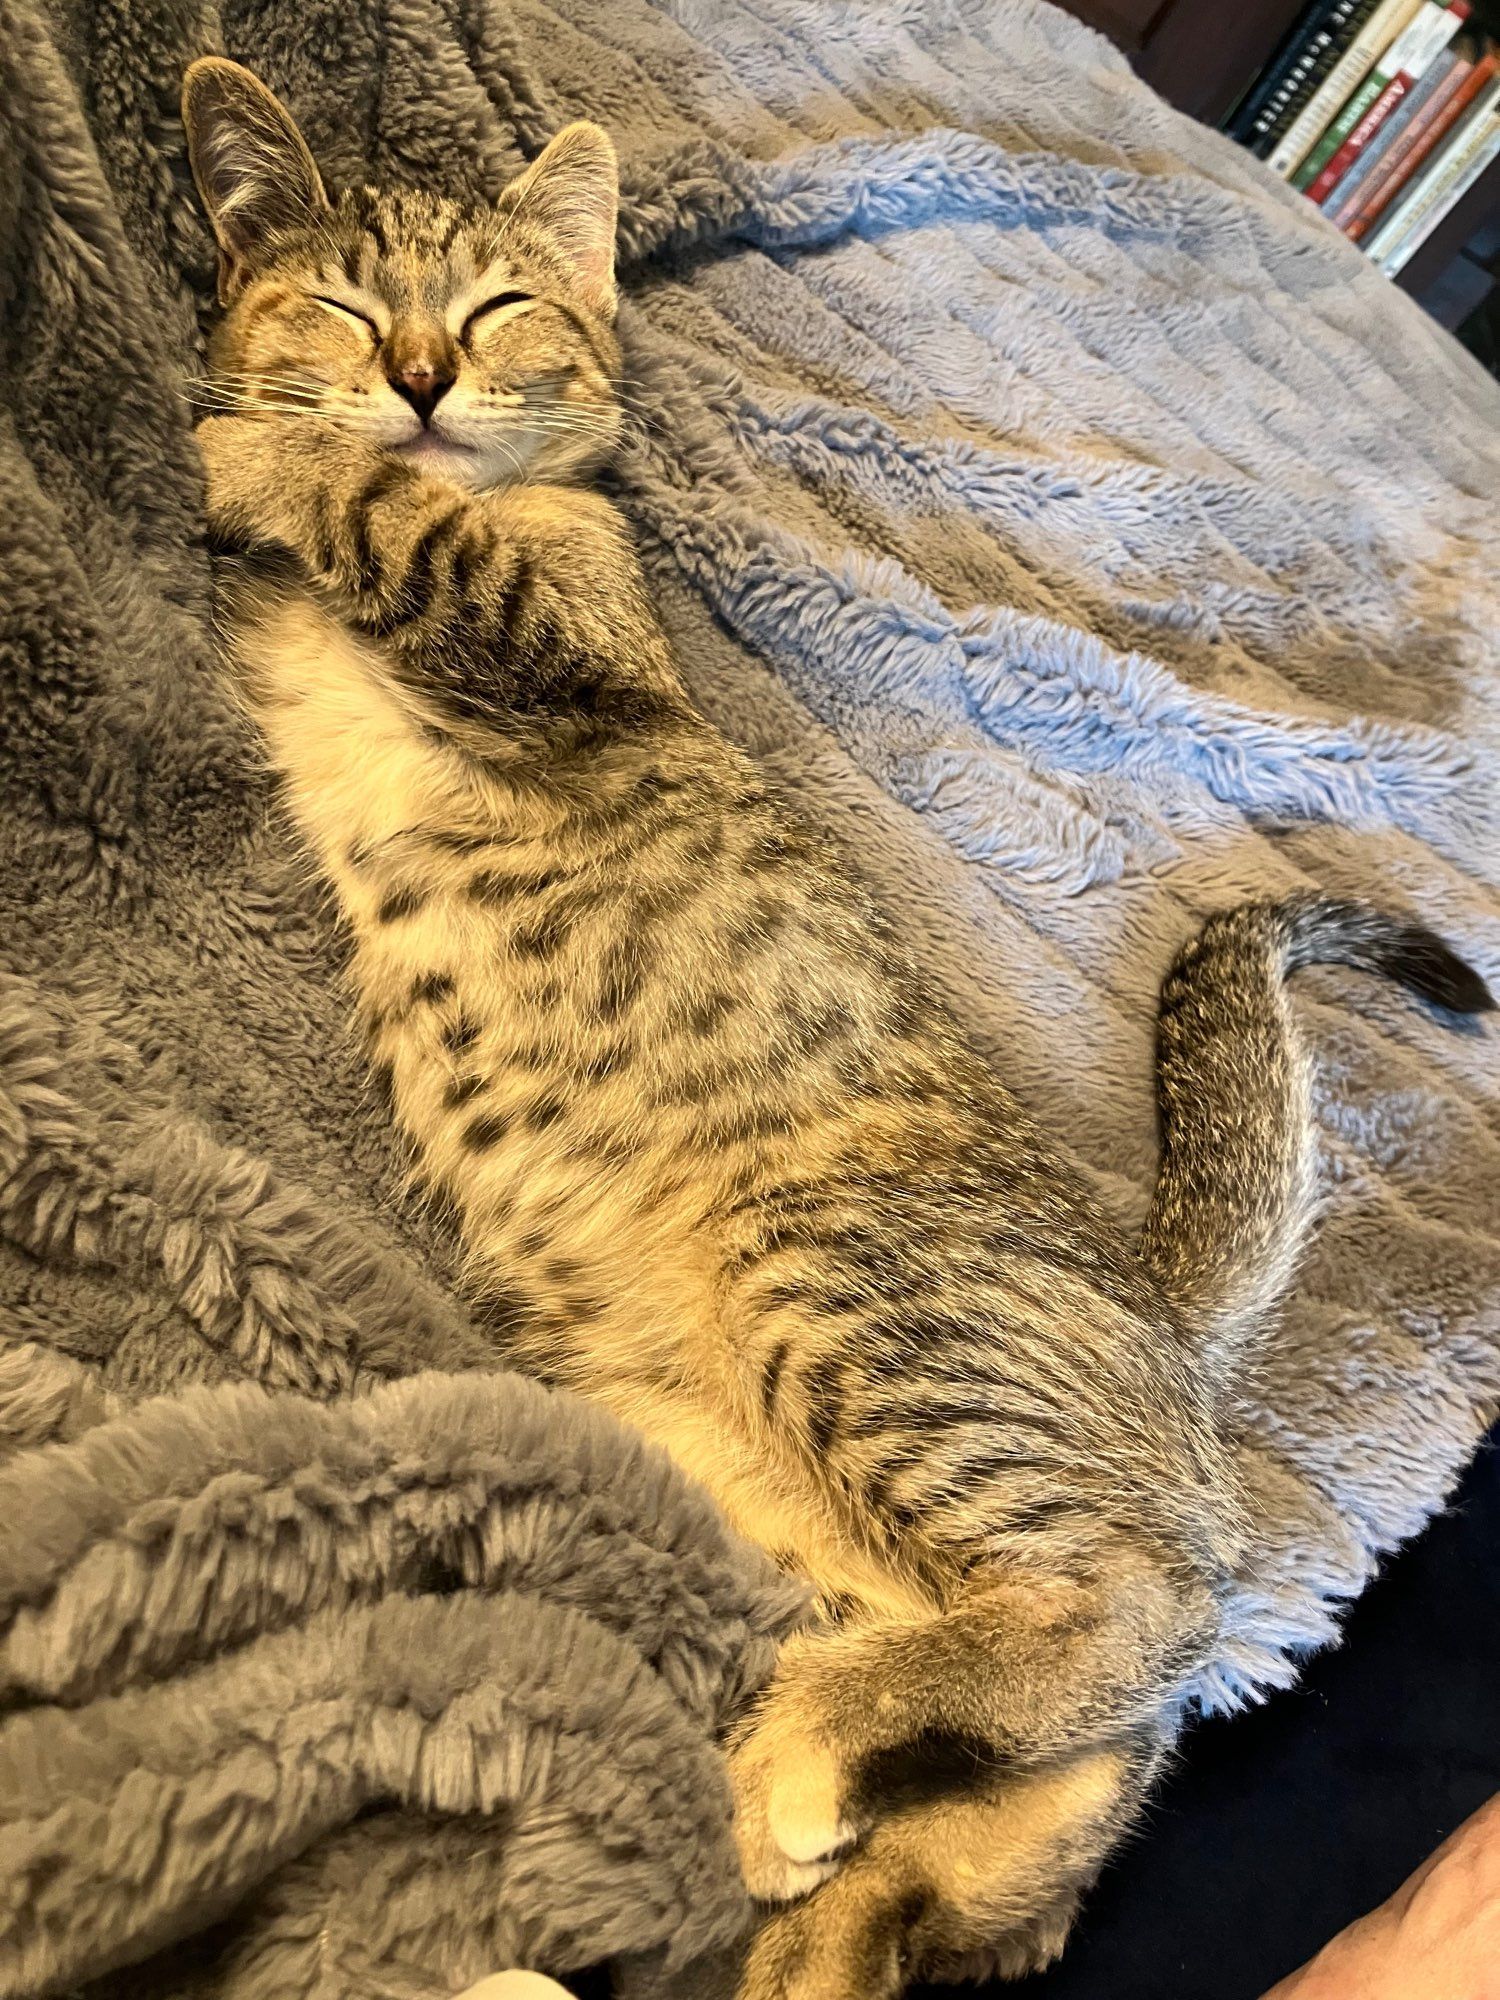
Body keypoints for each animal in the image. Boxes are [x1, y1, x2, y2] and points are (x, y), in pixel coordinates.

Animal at [185, 58, 1496, 2000]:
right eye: (351, 305)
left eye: (494, 310)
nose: (415, 374)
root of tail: (1154, 1315)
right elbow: (366, 502)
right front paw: (278, 423)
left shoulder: (558, 653)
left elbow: (394, 518)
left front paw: (254, 448)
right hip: (825, 1562)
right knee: (1013, 1821)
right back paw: (799, 1849)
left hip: (852, 1293)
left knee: (1153, 1601)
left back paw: (800, 1760)